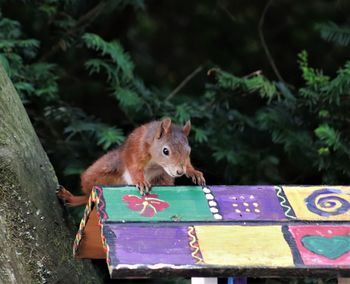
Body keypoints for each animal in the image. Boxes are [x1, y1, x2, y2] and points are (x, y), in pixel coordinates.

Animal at [56, 117, 205, 206]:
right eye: (165, 151)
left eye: (188, 151)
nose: (179, 171)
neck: (156, 162)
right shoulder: (137, 150)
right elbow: (134, 167)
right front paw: (140, 181)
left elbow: (189, 165)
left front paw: (194, 172)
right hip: (101, 171)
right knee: (88, 196)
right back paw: (70, 197)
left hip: (163, 179)